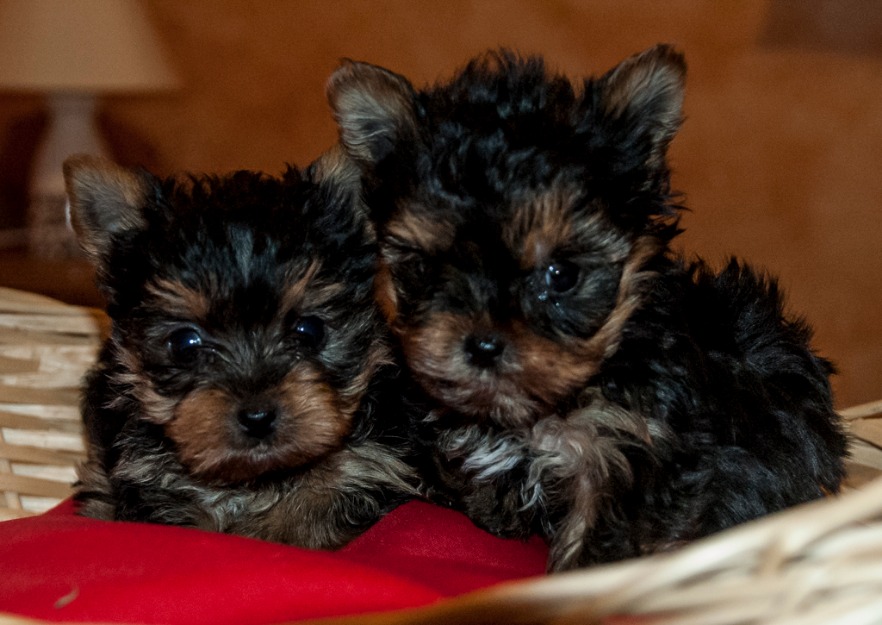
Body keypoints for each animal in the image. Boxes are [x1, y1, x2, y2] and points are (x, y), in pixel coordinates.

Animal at [65, 150, 416, 544]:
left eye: (309, 330)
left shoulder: (365, 467)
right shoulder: (149, 480)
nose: (257, 416)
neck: (254, 479)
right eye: (184, 344)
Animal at [326, 46, 848, 568]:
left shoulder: (628, 451)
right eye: (427, 269)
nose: (483, 346)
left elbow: (603, 540)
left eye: (561, 275)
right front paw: (494, 515)